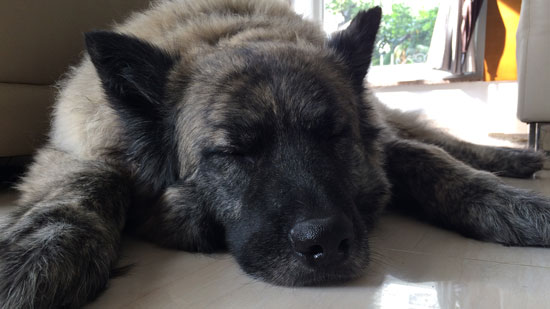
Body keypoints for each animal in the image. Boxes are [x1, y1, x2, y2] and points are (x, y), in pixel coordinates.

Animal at [1, 0, 550, 306]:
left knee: (436, 137)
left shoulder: (385, 147)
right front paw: (34, 257)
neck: (232, 33)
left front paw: (518, 207)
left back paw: (516, 160)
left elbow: (431, 162)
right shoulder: (74, 150)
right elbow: (87, 184)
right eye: (235, 152)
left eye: (333, 136)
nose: (324, 242)